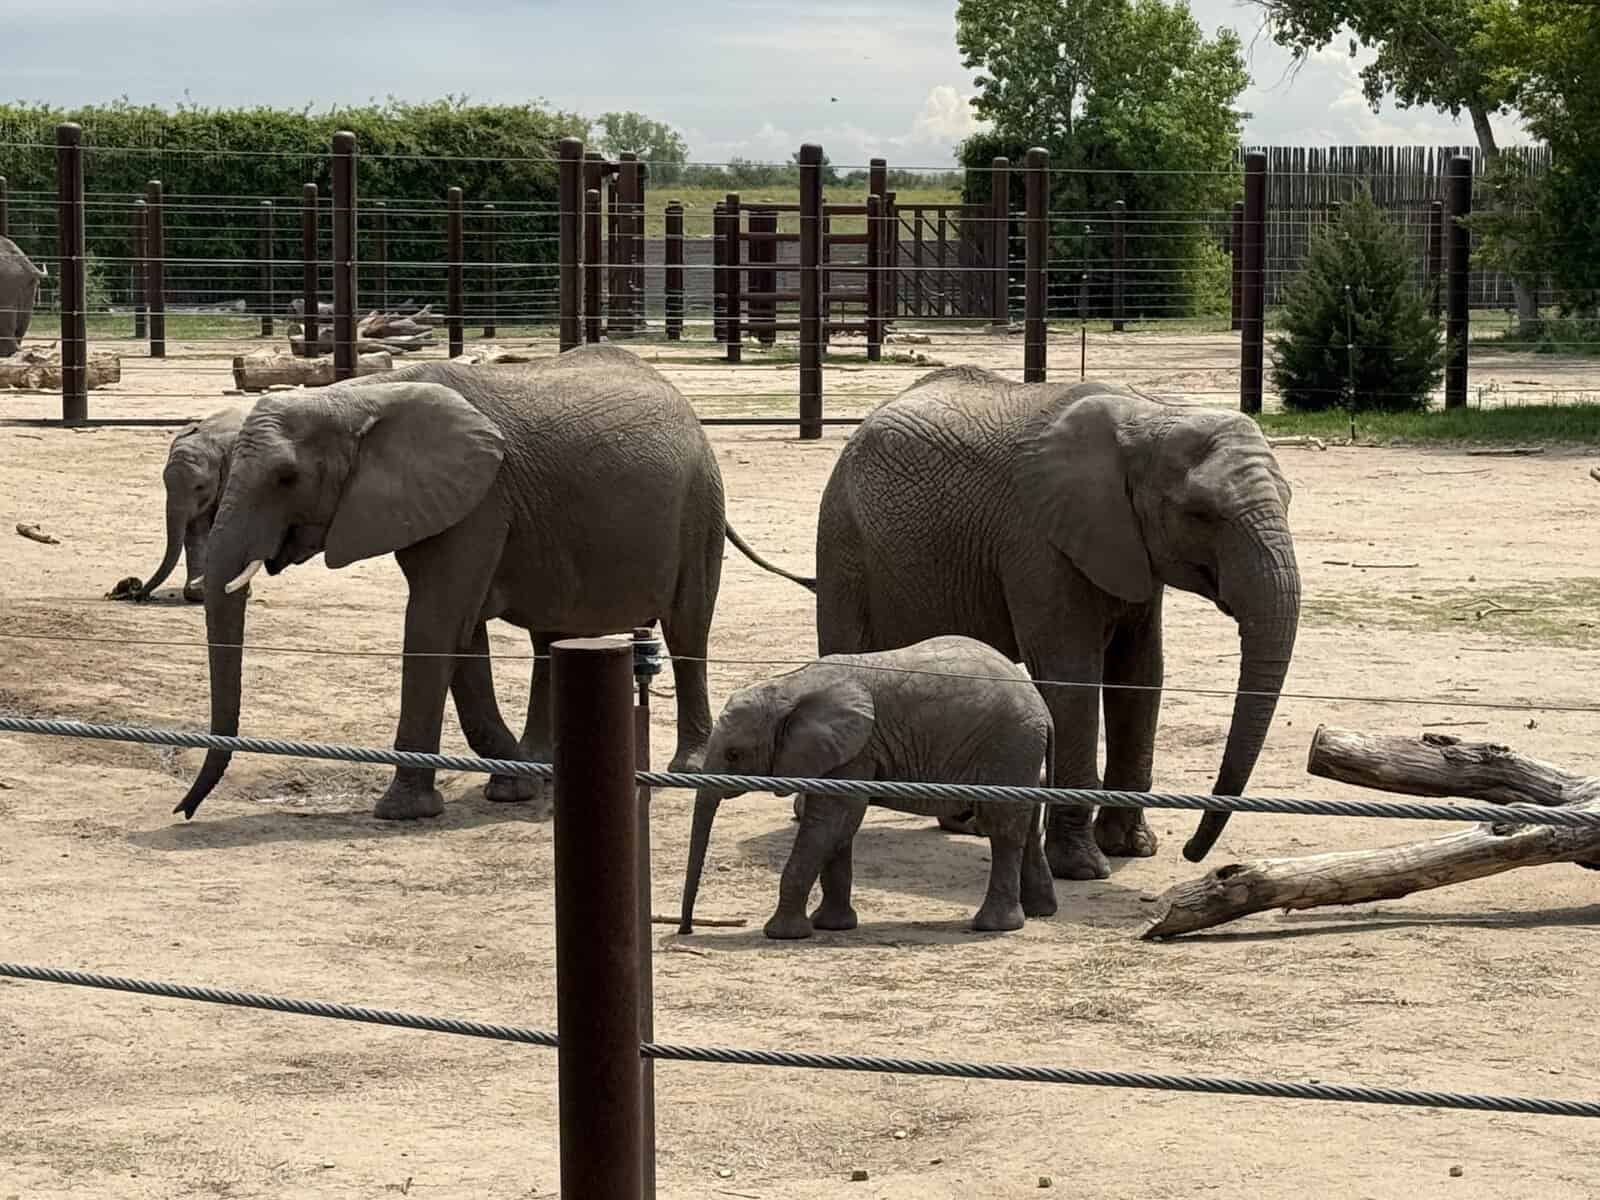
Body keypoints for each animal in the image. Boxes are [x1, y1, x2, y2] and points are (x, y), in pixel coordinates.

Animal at [173, 343, 808, 823]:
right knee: (553, 639)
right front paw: (518, 782)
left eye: (286, 478)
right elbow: (460, 631)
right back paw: (546, 763)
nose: (185, 809)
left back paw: (688, 769)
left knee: (687, 629)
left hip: (698, 504)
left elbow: (437, 621)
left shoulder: (479, 501)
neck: (359, 396)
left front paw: (405, 811)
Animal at [679, 635, 1057, 940]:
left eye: (733, 754)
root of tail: (1043, 708)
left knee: (1002, 827)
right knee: (1026, 820)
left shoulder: (856, 748)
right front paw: (831, 925)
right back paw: (1039, 912)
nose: (686, 929)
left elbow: (832, 821)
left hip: (1008, 746)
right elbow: (838, 829)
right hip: (1019, 752)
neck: (790, 686)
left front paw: (783, 934)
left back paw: (993, 926)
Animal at [812, 366, 1301, 879]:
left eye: (1289, 501)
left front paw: (1132, 848)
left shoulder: (1131, 550)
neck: (1150, 419)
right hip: (843, 537)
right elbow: (1072, 677)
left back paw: (967, 823)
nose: (1192, 852)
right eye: (1201, 514)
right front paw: (1082, 869)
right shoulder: (1037, 540)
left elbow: (1141, 672)